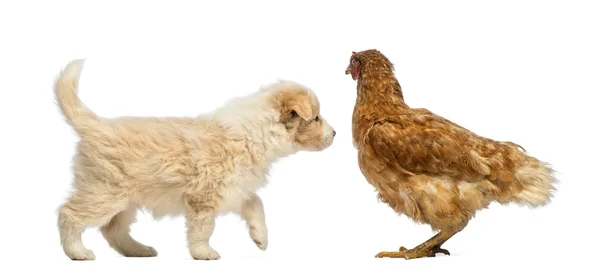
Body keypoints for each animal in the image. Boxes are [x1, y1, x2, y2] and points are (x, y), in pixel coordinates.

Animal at [54, 58, 336, 260]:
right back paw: (77, 252)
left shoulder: (238, 188)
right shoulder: (205, 197)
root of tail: (95, 124)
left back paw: (138, 250)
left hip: (124, 199)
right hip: (103, 193)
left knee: (113, 229)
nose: (335, 134)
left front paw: (260, 238)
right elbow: (203, 228)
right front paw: (203, 253)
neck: (255, 132)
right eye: (316, 118)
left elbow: (256, 204)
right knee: (69, 214)